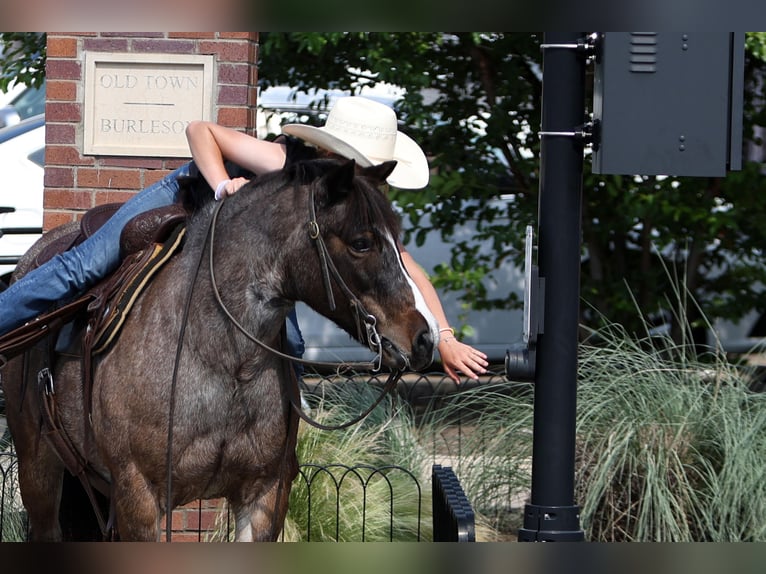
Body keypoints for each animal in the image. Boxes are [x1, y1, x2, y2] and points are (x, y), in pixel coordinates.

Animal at [1, 160, 438, 544]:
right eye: (362, 242)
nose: (423, 338)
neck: (224, 360)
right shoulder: (139, 497)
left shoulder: (265, 496)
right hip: (39, 468)